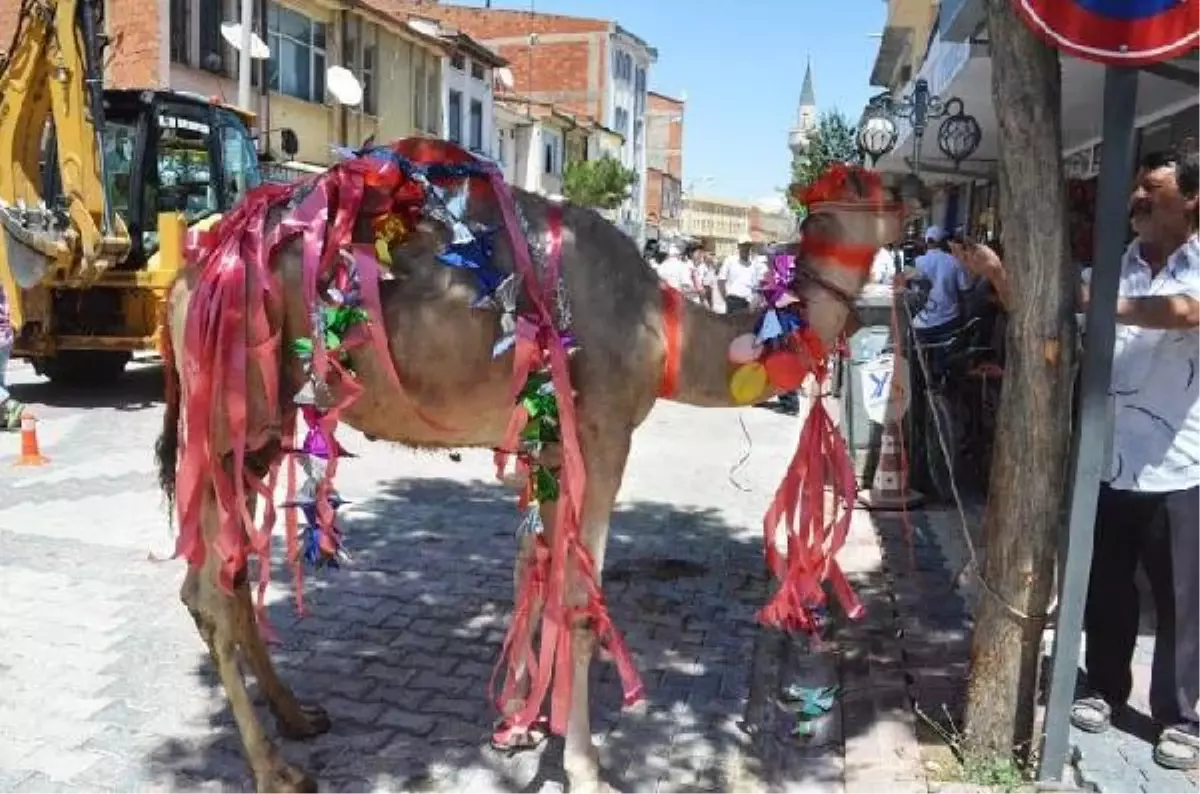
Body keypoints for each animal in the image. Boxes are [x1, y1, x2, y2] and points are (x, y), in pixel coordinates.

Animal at [154, 139, 902, 791]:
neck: (665, 330)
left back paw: (299, 715)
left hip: (262, 427)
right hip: (229, 406)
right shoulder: (602, 433)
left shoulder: (549, 442)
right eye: (870, 182)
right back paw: (275, 770)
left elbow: (535, 568)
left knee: (230, 572)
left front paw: (521, 720)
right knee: (209, 591)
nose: (919, 193)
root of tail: (191, 276)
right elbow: (578, 598)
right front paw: (587, 766)